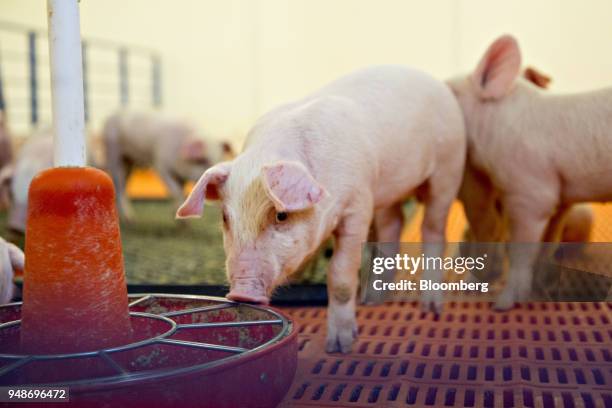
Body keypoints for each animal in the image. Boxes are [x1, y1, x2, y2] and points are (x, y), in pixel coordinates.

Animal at [101, 110, 233, 222]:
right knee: (118, 184)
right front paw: (183, 222)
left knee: (124, 185)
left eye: (220, 158)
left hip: (129, 162)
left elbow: (181, 189)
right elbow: (176, 191)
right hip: (113, 153)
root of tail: (111, 115)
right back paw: (129, 219)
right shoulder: (161, 165)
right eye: (202, 160)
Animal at [177, 67, 464, 354]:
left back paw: (431, 308)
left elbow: (340, 273)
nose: (241, 293)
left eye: (281, 215)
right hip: (389, 188)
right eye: (225, 217)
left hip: (448, 169)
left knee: (433, 230)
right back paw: (373, 300)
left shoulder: (358, 205)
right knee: (393, 227)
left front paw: (339, 347)